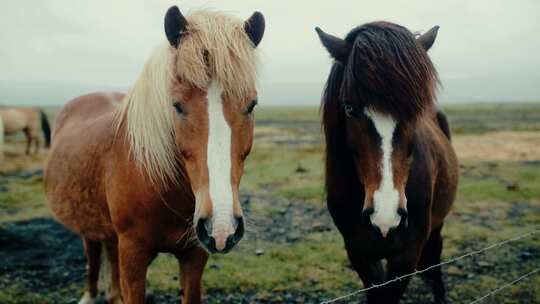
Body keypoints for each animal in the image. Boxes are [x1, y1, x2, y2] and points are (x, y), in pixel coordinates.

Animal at [45, 7, 264, 304]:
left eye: (251, 105)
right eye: (177, 106)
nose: (221, 227)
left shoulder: (194, 254)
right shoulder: (133, 255)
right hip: (88, 225)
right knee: (92, 253)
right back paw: (89, 295)